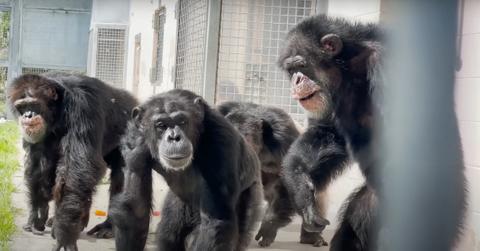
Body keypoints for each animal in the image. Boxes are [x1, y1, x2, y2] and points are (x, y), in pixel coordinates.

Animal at [6, 71, 138, 250]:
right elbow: (38, 163)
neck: (58, 109)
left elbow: (80, 166)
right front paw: (37, 214)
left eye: (33, 105)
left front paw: (65, 234)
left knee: (121, 175)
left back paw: (109, 227)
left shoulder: (83, 106)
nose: (28, 115)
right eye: (22, 107)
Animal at [111, 89, 264, 251]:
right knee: (168, 235)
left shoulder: (221, 144)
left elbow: (215, 222)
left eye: (182, 121)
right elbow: (135, 209)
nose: (174, 137)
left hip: (252, 196)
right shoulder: (135, 139)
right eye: (161, 125)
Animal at [278, 14, 464, 250]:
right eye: (291, 70)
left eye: (302, 65)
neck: (347, 67)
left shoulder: (389, 66)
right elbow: (326, 132)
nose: (296, 80)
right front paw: (302, 190)